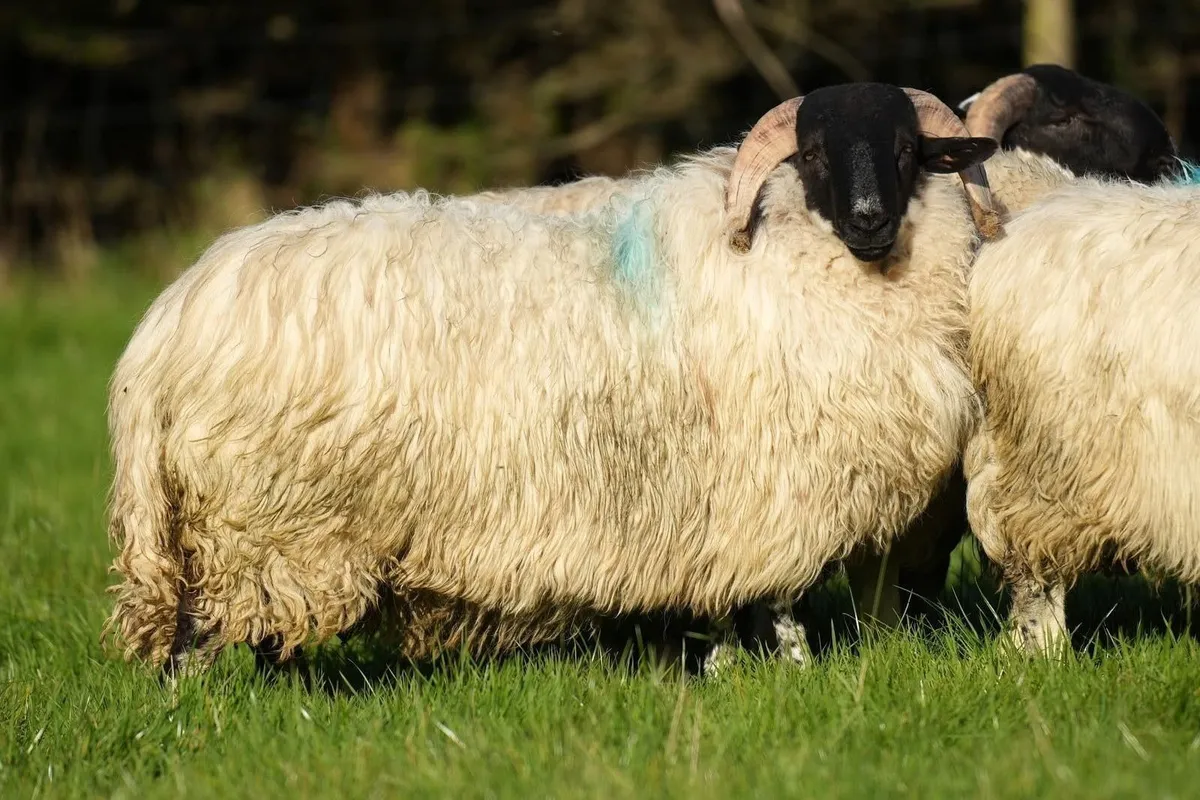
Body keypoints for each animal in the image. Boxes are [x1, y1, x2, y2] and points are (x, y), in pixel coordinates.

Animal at [102, 83, 1001, 679]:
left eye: (909, 152)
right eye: (813, 153)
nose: (869, 220)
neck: (788, 252)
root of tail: (164, 324)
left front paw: (731, 668)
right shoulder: (770, 485)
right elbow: (772, 597)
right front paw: (788, 669)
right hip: (262, 517)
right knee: (196, 633)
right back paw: (203, 711)